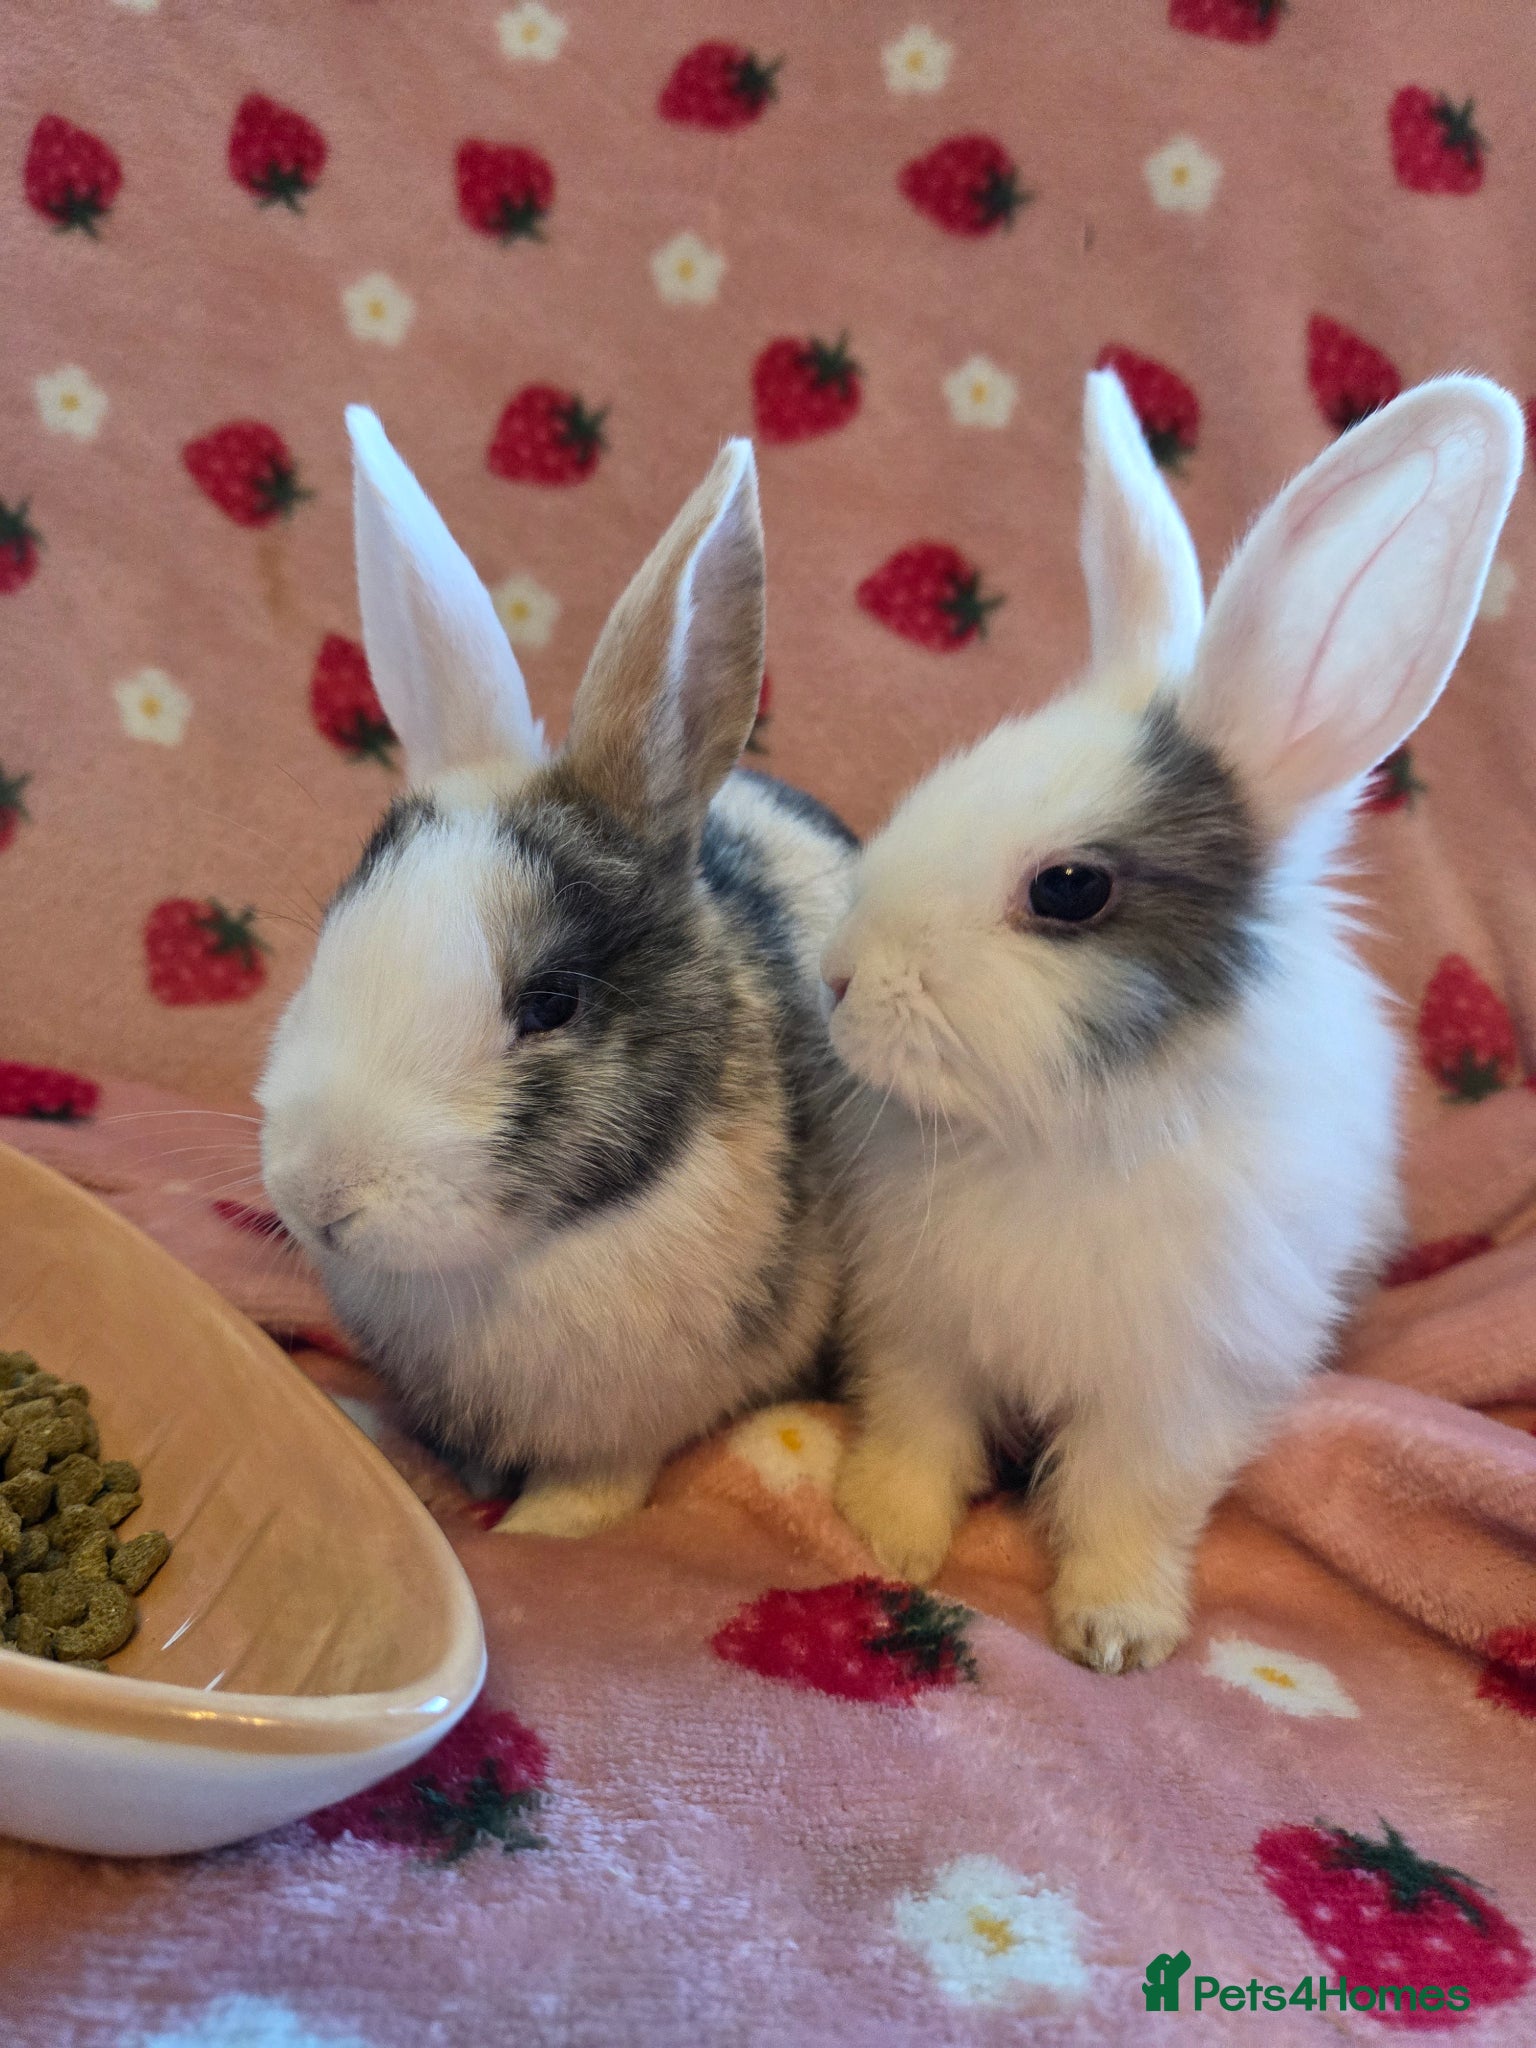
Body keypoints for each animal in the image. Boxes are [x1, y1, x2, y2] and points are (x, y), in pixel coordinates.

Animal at [258, 409, 858, 1538]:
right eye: (329, 941)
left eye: (550, 1003)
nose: (321, 1197)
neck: (512, 1259)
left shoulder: (627, 1429)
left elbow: (596, 1486)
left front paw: (543, 1532)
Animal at [821, 369, 1523, 1672]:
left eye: (1068, 889)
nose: (836, 978)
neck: (1064, 1130)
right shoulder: (921, 1337)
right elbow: (919, 1437)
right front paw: (881, 1532)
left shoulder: (1178, 1393)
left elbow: (1123, 1502)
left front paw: (1117, 1632)